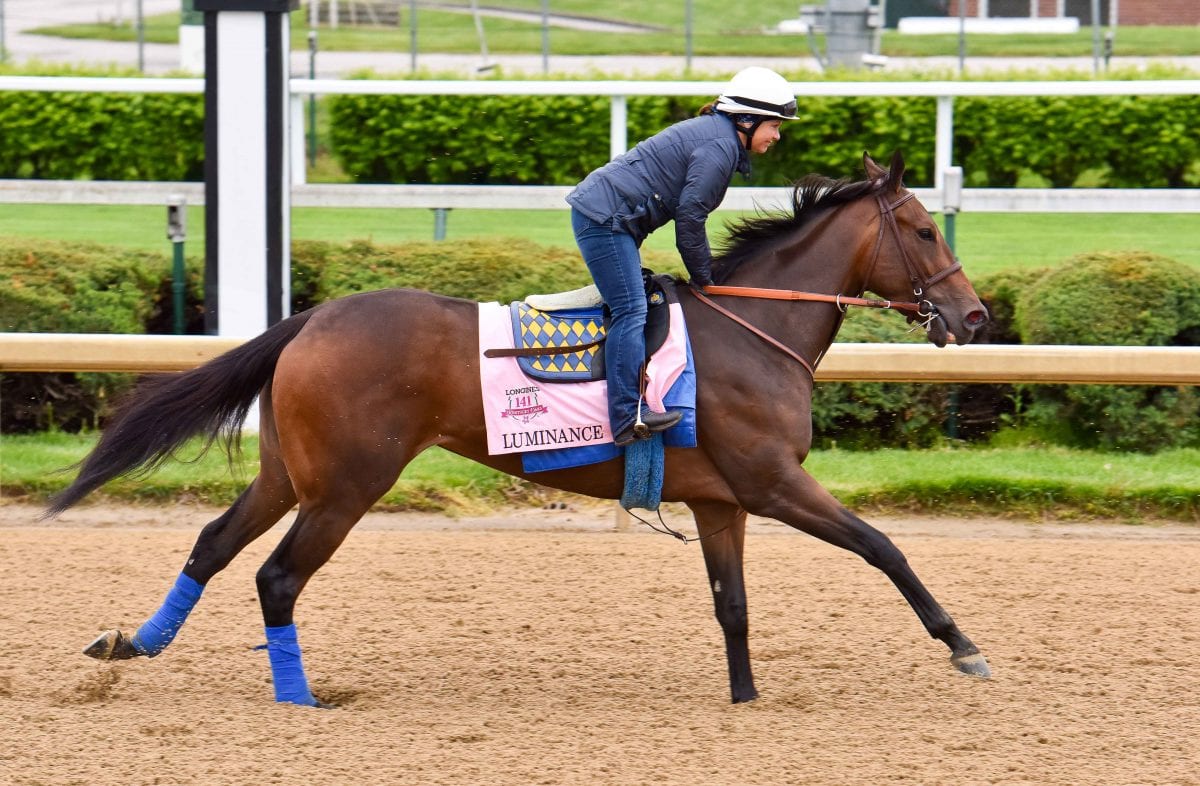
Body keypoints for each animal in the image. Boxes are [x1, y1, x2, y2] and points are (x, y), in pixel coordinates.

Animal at [46, 152, 993, 705]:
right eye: (920, 229)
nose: (975, 316)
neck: (753, 328)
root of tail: (310, 319)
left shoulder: (722, 501)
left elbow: (733, 607)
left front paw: (747, 699)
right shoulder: (773, 482)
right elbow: (883, 547)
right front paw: (963, 647)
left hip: (291, 475)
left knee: (212, 544)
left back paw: (133, 642)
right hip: (347, 486)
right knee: (277, 578)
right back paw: (299, 696)